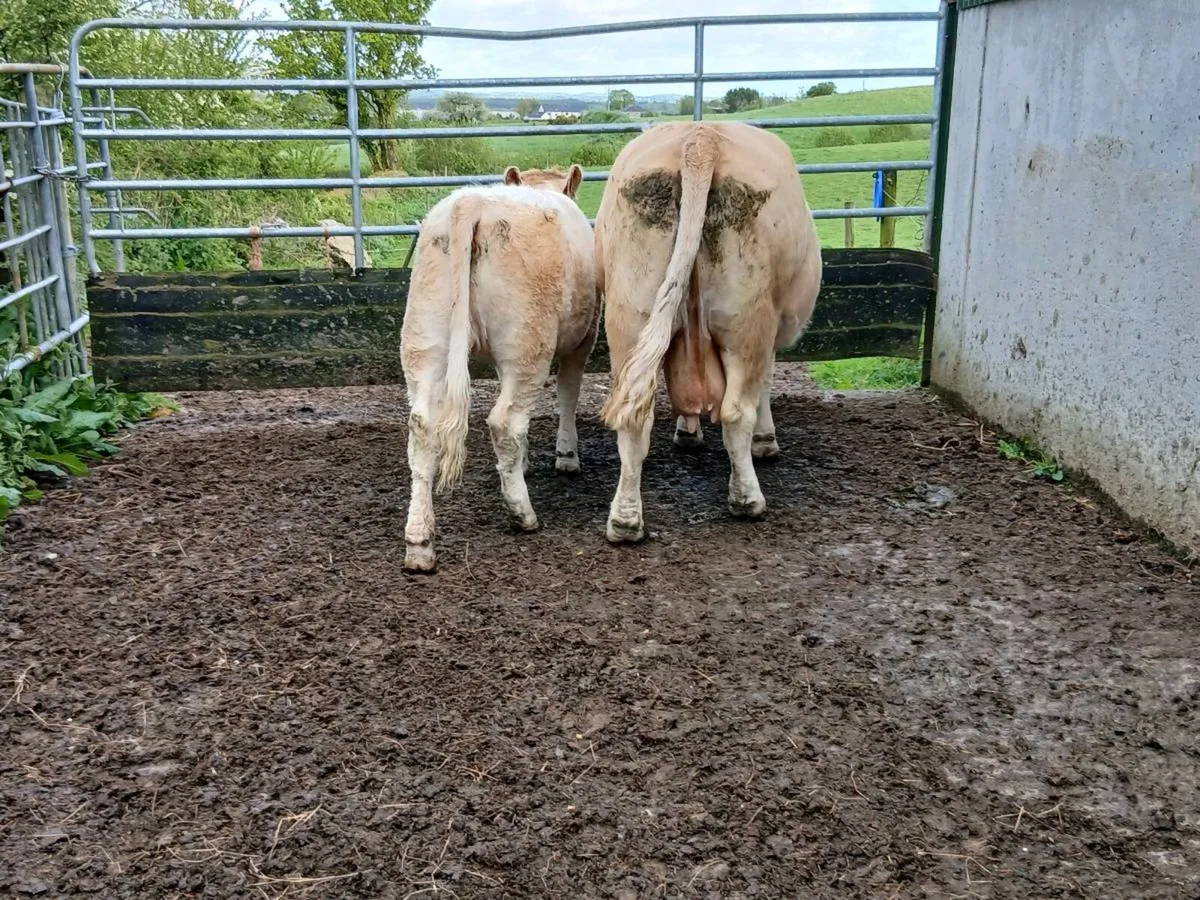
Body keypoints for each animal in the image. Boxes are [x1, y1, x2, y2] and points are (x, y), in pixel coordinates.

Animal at [400, 164, 599, 572]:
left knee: (422, 428)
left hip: (424, 336)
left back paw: (419, 543)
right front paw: (567, 457)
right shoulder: (584, 337)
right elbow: (568, 394)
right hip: (528, 342)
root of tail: (474, 201)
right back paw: (523, 515)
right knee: (505, 421)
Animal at [596, 121, 822, 543]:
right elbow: (765, 383)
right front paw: (765, 442)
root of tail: (701, 138)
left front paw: (687, 433)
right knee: (736, 412)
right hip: (745, 321)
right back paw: (747, 500)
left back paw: (625, 521)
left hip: (629, 316)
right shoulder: (770, 333)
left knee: (634, 417)